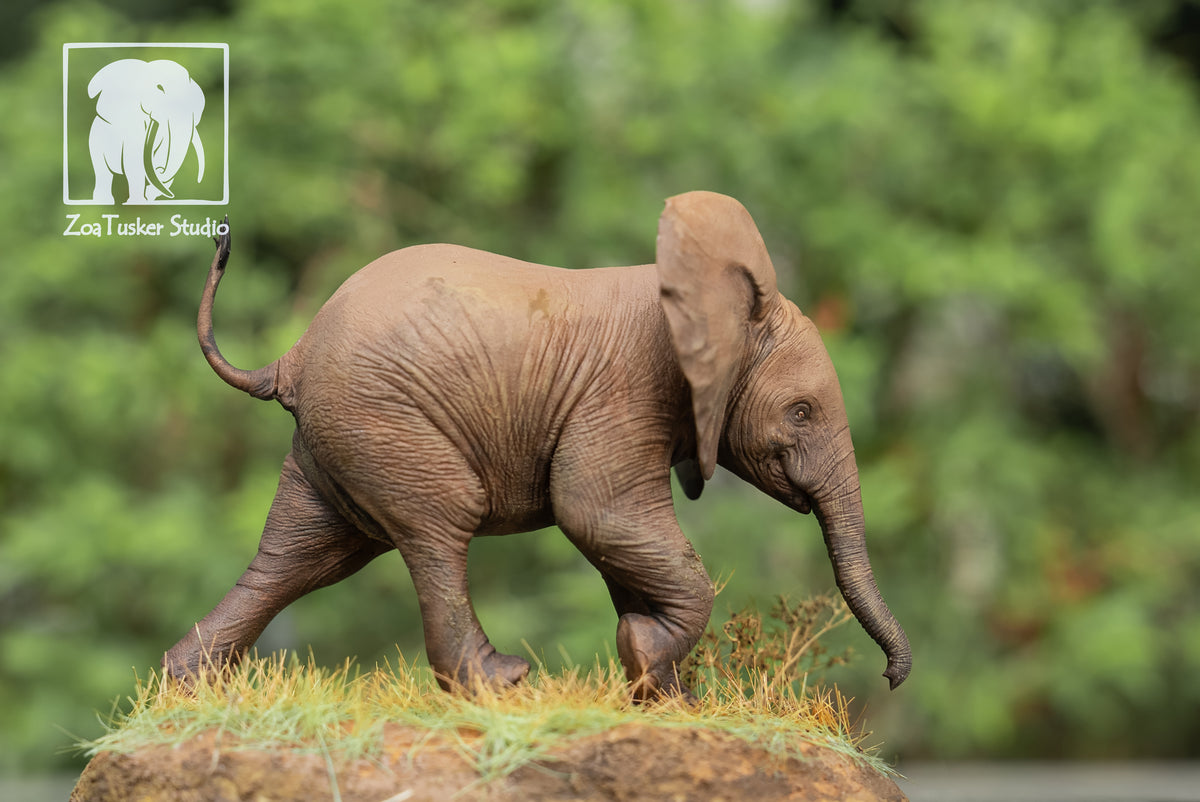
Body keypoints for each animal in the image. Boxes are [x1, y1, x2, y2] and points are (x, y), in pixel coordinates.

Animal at [163, 191, 911, 698]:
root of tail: (288, 359)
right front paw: (645, 654)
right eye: (802, 412)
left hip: (337, 442)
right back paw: (500, 682)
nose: (891, 677)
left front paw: (662, 690)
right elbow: (596, 512)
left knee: (304, 553)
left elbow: (617, 541)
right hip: (382, 422)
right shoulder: (628, 388)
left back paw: (190, 689)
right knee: (438, 525)